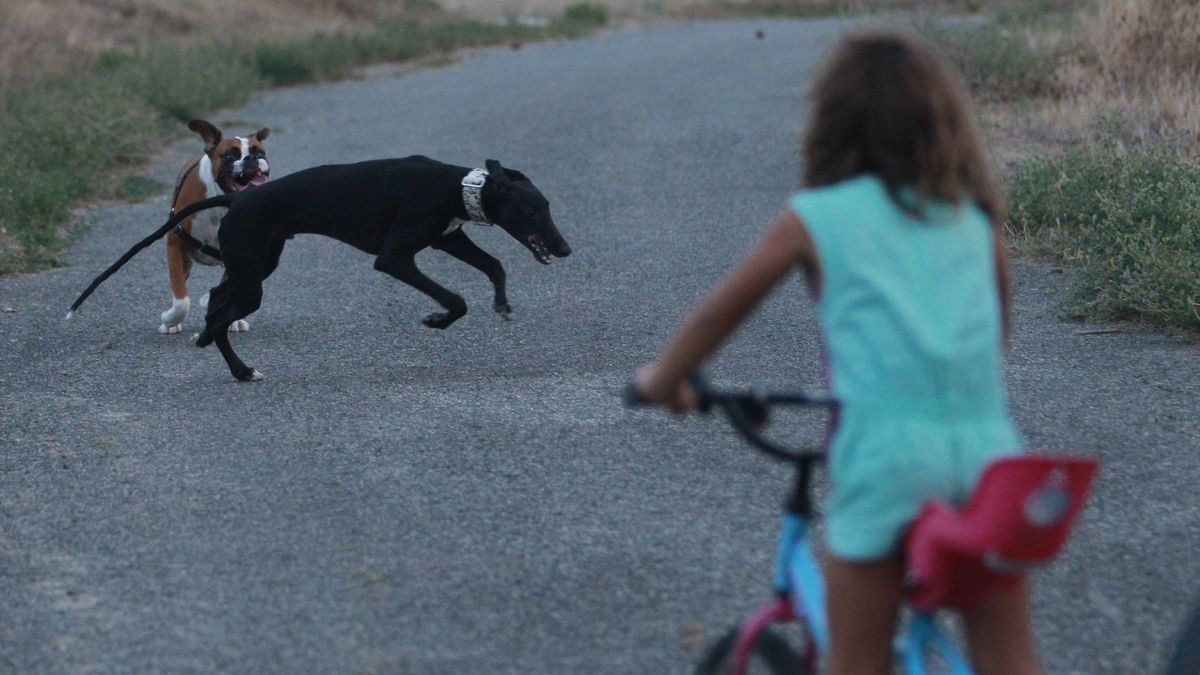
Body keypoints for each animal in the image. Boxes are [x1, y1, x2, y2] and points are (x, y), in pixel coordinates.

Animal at [70, 154, 571, 381]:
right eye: (532, 210)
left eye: (547, 205)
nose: (565, 249)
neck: (454, 185)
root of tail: (237, 199)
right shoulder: (394, 256)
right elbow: (456, 298)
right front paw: (437, 318)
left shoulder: (448, 236)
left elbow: (494, 264)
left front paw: (502, 304)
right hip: (254, 277)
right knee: (219, 315)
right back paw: (240, 369)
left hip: (254, 266)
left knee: (215, 305)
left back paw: (223, 353)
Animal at [159, 120, 270, 333]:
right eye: (230, 155)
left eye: (260, 153)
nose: (251, 158)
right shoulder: (175, 245)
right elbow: (181, 301)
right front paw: (170, 320)